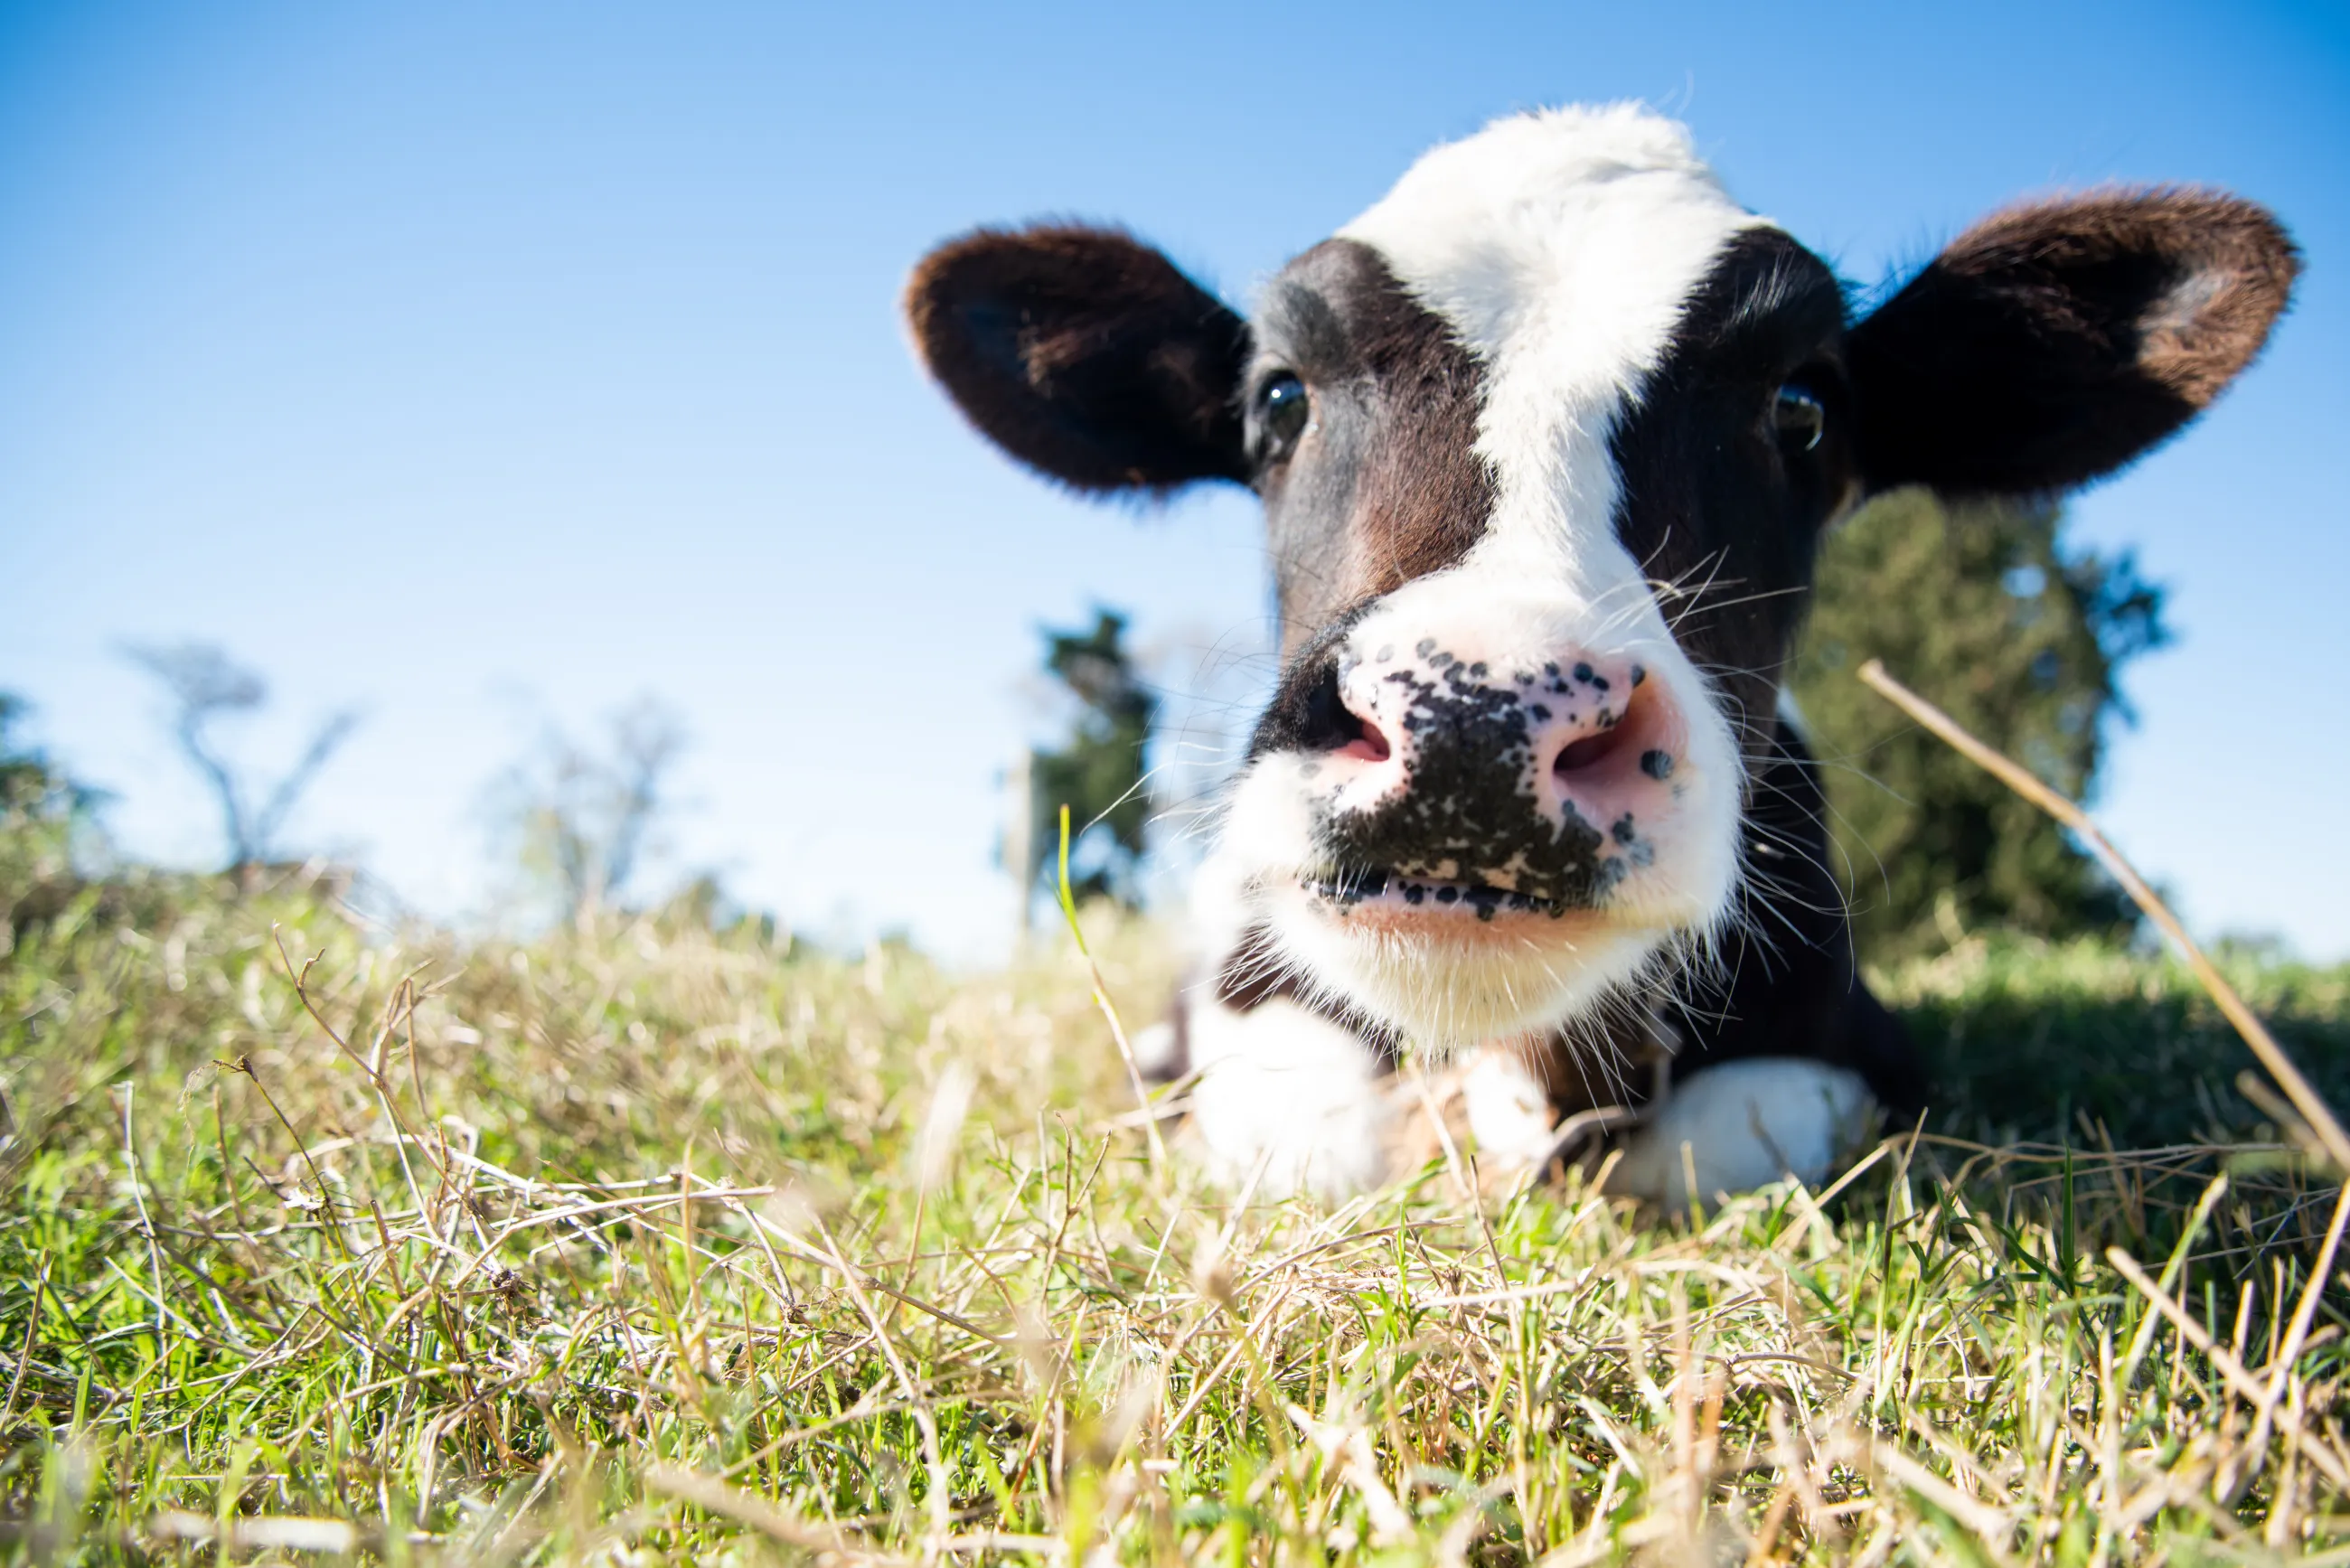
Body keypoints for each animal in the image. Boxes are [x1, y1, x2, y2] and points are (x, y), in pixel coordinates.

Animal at [902, 108, 2293, 1203]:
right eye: (1279, 397)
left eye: (1802, 405)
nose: (1475, 726)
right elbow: (1322, 1126)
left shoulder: (1845, 1049)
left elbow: (1724, 1139)